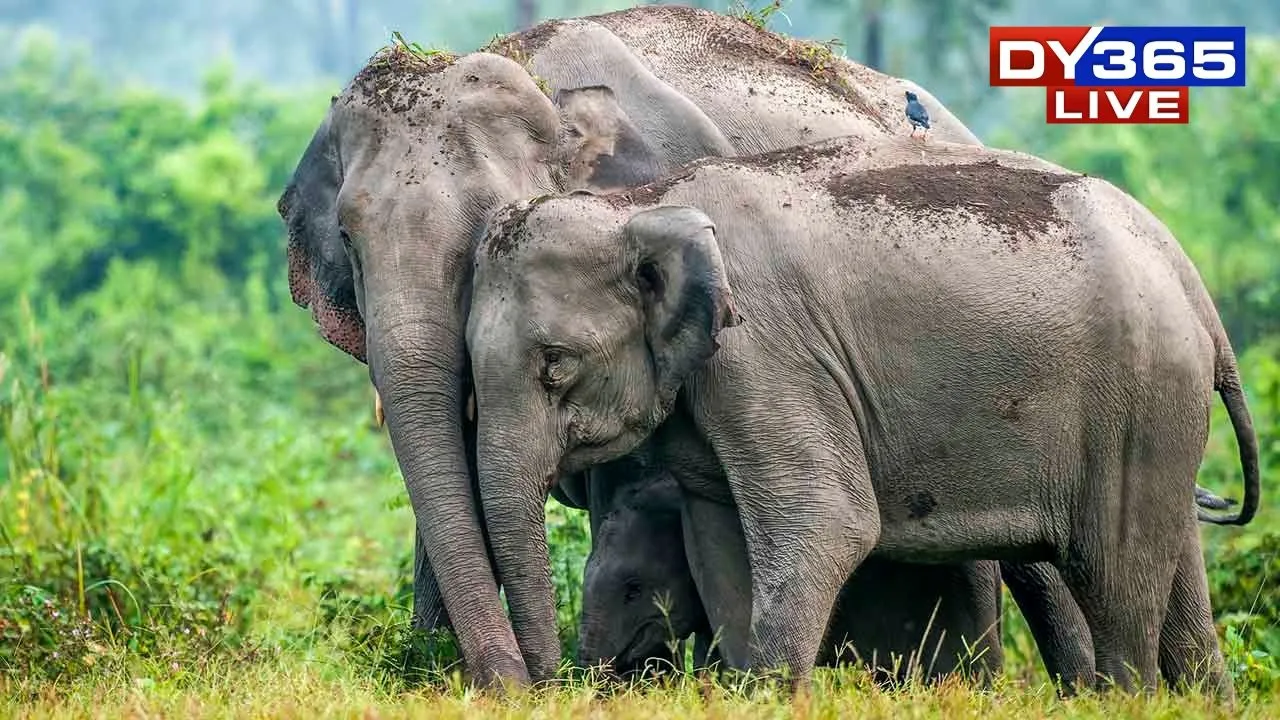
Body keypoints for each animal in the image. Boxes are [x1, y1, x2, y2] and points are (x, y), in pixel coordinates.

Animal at [463, 135, 1261, 696]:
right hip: (1160, 412)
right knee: (1176, 579)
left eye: (555, 363)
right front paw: (751, 689)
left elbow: (827, 518)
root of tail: (1187, 275)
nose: (555, 686)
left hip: (1138, 393)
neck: (640, 204)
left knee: (1110, 574)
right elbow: (721, 540)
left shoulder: (767, 355)